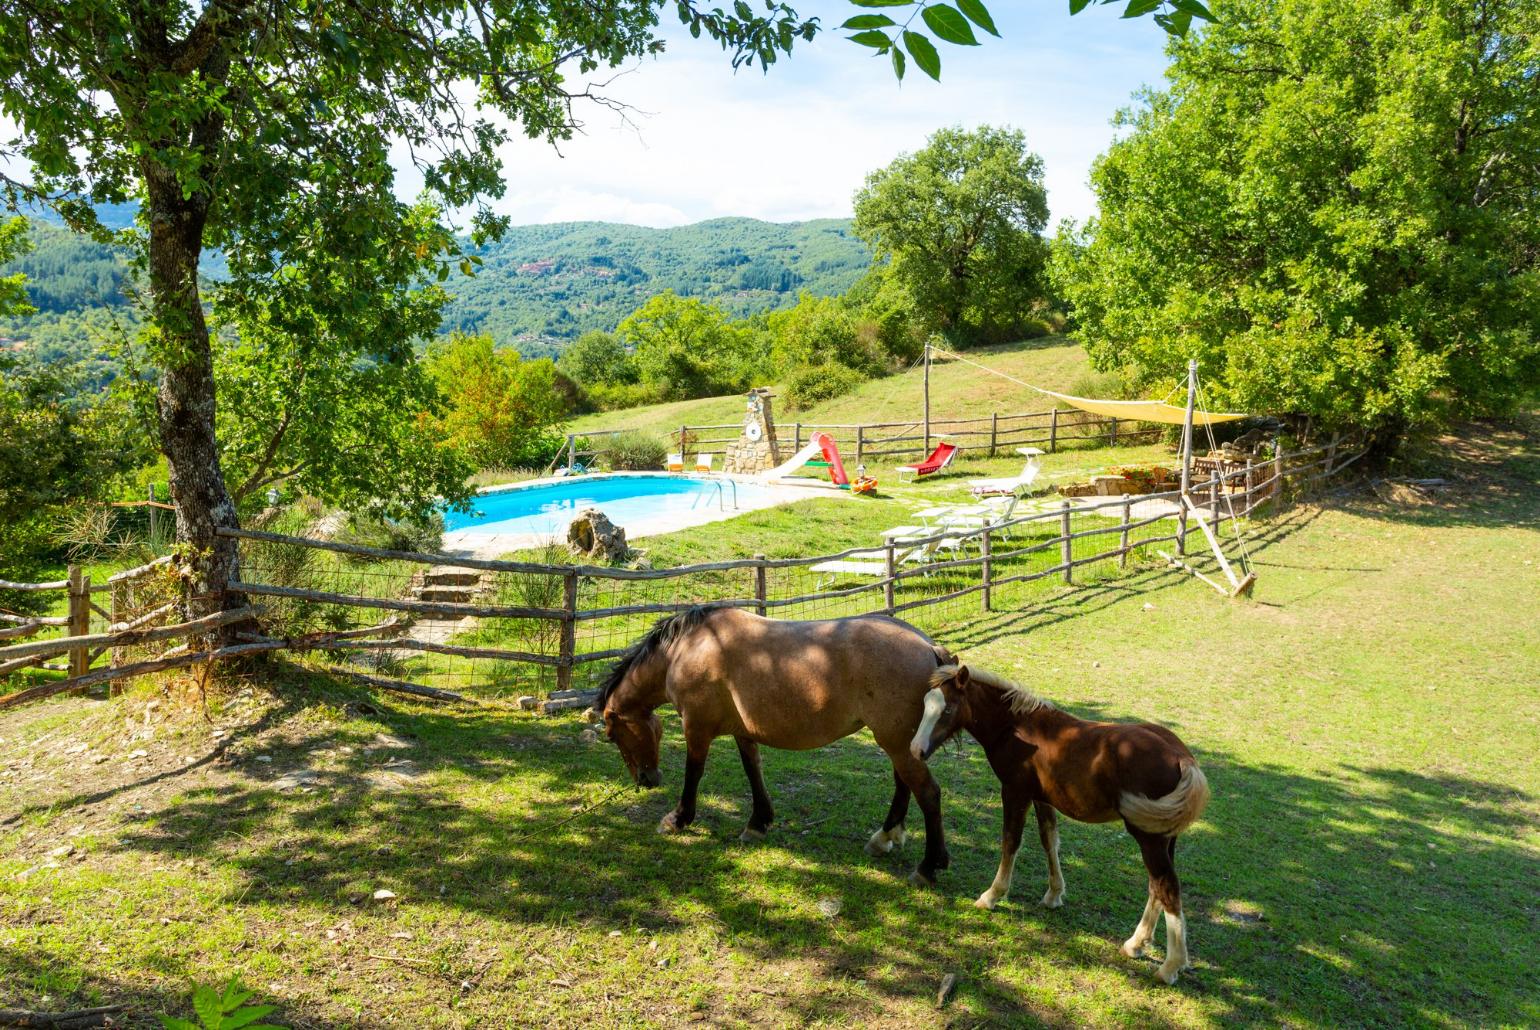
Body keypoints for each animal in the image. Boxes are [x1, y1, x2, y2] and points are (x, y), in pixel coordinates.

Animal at [597, 603, 948, 886]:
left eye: (613, 735)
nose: (646, 780)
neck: (687, 649)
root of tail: (928, 646)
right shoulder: (742, 730)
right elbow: (753, 770)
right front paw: (758, 822)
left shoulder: (696, 728)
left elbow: (693, 773)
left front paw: (677, 818)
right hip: (898, 744)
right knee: (903, 786)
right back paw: (884, 838)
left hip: (897, 743)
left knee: (928, 793)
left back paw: (928, 867)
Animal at [905, 662, 1207, 985]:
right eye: (926, 703)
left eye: (947, 709)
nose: (916, 750)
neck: (1017, 727)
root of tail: (1182, 757)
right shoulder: (1042, 798)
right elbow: (1049, 839)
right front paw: (1053, 895)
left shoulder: (1015, 791)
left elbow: (1011, 841)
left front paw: (992, 895)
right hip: (1163, 835)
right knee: (1156, 887)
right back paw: (1135, 944)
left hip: (1148, 837)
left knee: (1167, 887)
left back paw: (1170, 967)